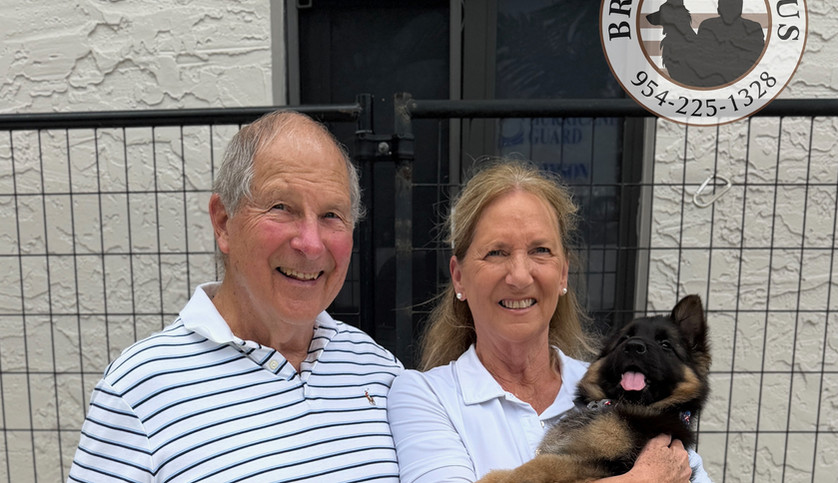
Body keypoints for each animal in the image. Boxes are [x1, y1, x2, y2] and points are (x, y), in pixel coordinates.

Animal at [480, 294, 710, 483]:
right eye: (624, 339)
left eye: (665, 345)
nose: (633, 346)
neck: (615, 403)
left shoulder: (604, 462)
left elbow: (539, 465)